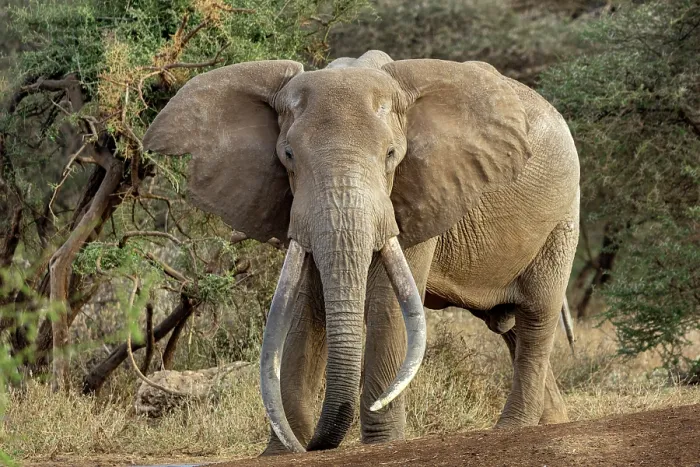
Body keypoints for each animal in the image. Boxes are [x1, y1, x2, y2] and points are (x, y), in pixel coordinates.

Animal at [143, 49, 580, 454]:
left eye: (391, 155)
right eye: (288, 156)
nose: (313, 444)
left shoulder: (419, 194)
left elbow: (387, 304)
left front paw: (382, 444)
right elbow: (306, 304)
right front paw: (281, 451)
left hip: (562, 216)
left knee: (536, 317)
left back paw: (513, 428)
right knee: (509, 328)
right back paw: (553, 422)